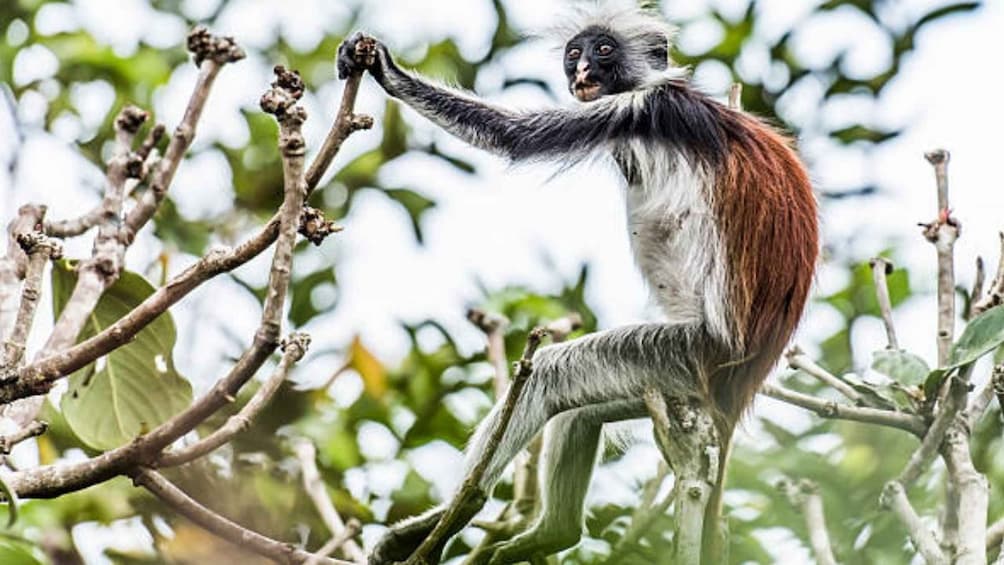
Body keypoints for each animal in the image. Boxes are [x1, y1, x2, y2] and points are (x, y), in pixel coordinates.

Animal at [338, 3, 818, 564]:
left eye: (603, 50)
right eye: (574, 53)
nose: (582, 71)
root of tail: (743, 382)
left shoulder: (641, 108)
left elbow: (513, 137)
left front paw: (385, 70)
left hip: (687, 353)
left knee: (548, 374)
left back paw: (459, 510)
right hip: (667, 382)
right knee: (580, 412)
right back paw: (553, 532)